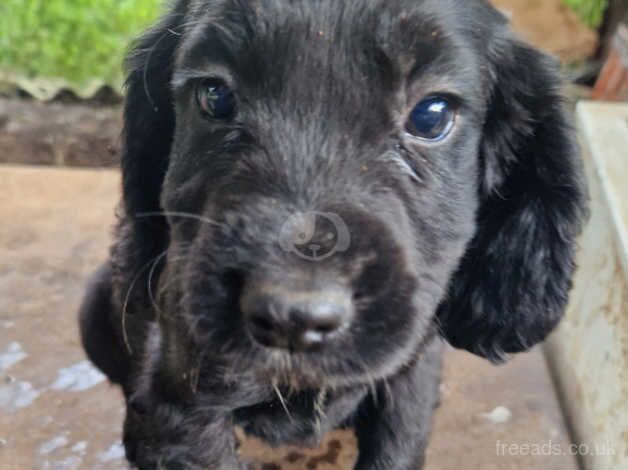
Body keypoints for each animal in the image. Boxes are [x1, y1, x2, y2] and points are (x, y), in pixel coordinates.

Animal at [79, 1, 588, 468]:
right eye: (214, 96)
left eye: (432, 115)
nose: (292, 316)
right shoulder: (182, 400)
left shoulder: (409, 377)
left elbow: (399, 444)